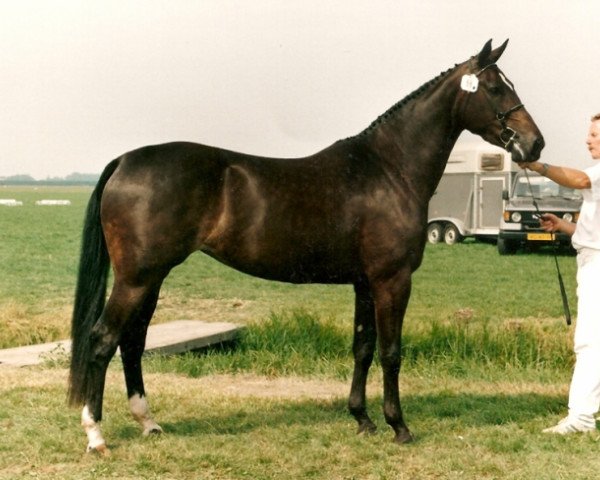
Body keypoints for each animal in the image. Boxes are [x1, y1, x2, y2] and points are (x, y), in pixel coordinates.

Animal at [69, 40, 544, 454]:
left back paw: (148, 422)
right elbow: (390, 352)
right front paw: (399, 426)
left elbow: (362, 348)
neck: (388, 170)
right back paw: (95, 435)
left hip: (151, 278)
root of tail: (125, 161)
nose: (534, 143)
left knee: (132, 342)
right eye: (496, 87)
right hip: (137, 278)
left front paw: (362, 419)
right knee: (103, 339)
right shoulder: (392, 280)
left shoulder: (364, 283)